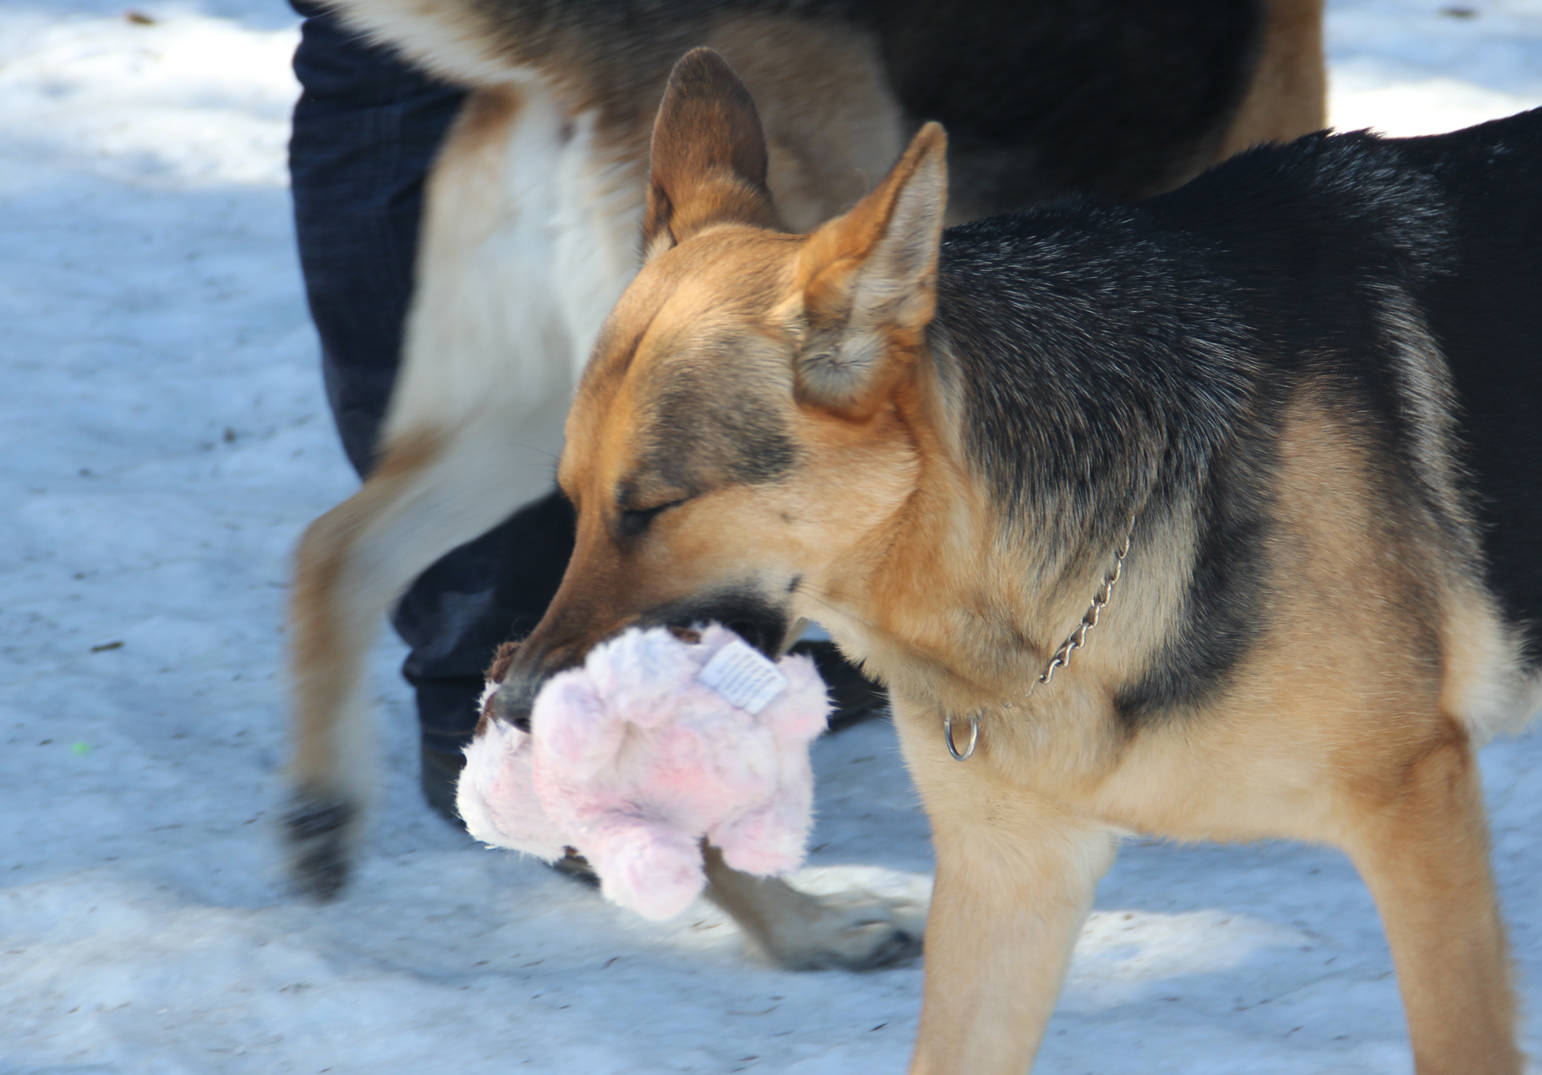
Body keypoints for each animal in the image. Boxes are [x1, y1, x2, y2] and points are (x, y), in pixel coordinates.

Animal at [283, 0, 1319, 974]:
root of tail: (591, 51)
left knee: (335, 547)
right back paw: (809, 930)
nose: (519, 702)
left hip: (528, 424)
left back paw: (324, 809)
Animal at [474, 52, 1535, 1073]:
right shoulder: (1014, 877)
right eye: (572, 503)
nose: (510, 705)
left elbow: (1462, 1042)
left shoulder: (1417, 814)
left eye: (653, 507)